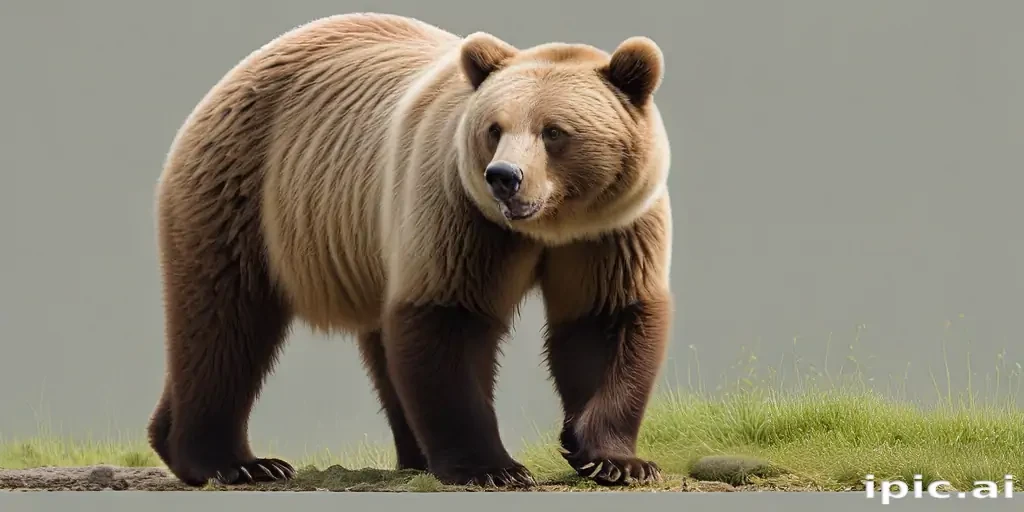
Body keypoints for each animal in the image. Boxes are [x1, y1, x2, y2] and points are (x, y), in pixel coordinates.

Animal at [148, 11, 674, 489]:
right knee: (225, 321)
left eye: (554, 131)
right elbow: (448, 321)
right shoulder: (459, 212)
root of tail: (229, 79)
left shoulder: (611, 229)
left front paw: (614, 460)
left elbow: (604, 322)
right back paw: (236, 462)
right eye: (494, 128)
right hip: (248, 194)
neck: (548, 227)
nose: (503, 177)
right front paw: (492, 468)